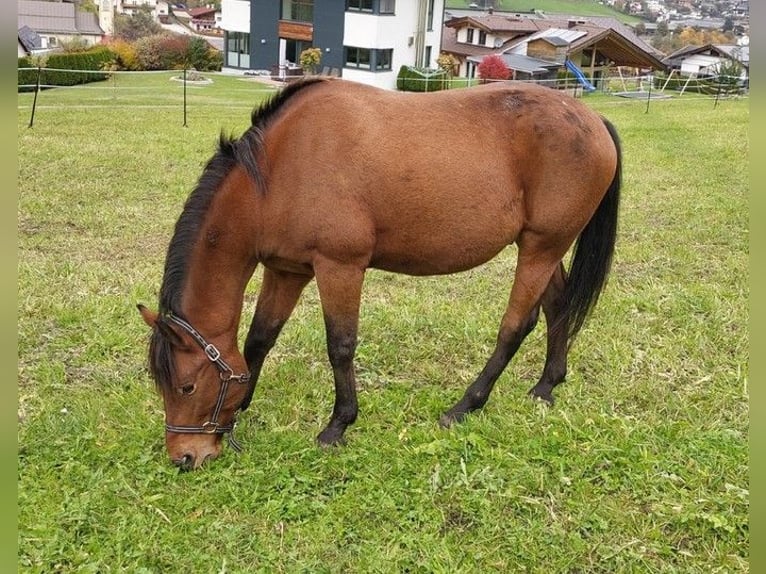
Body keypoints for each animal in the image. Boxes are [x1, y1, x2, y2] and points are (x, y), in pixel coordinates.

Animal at [138, 77, 621, 470]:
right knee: (557, 308)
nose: (185, 457)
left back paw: (465, 406)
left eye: (185, 386)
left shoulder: (340, 267)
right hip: (542, 248)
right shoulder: (287, 271)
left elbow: (340, 346)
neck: (276, 172)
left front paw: (338, 424)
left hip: (541, 249)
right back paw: (546, 385)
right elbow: (260, 339)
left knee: (516, 326)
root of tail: (593, 119)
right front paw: (243, 408)